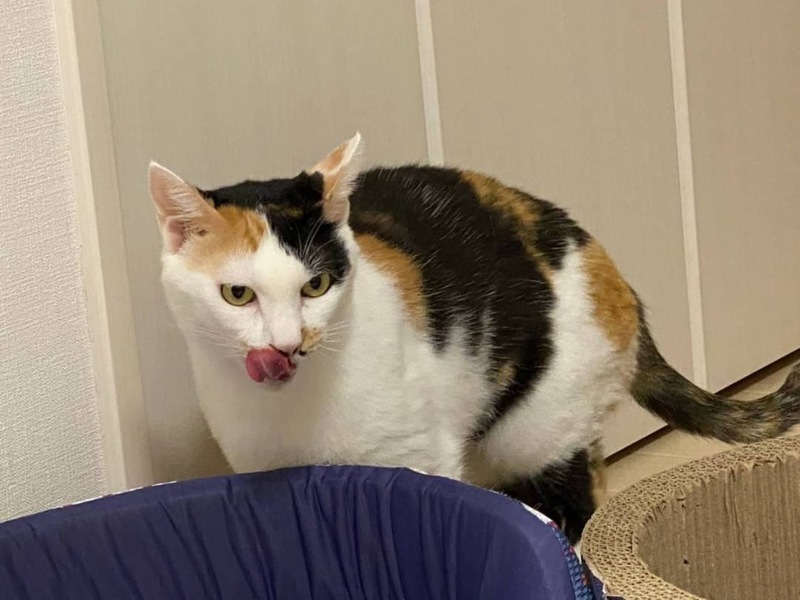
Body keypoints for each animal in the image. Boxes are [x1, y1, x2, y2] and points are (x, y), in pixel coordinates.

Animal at [148, 133, 800, 543]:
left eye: (317, 285)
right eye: (238, 294)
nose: (288, 344)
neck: (294, 415)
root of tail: (615, 280)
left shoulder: (418, 461)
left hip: (539, 429)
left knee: (575, 492)